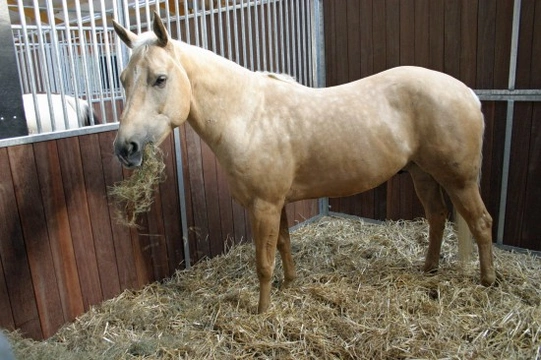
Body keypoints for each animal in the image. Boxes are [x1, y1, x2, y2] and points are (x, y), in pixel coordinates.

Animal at [110, 14, 494, 312]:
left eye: (160, 79)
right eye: (123, 79)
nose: (125, 148)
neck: (250, 115)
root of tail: (468, 94)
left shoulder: (263, 205)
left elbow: (263, 262)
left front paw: (263, 311)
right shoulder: (276, 203)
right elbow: (283, 244)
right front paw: (290, 284)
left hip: (460, 181)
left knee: (481, 223)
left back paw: (488, 281)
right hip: (423, 174)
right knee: (437, 217)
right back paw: (428, 269)